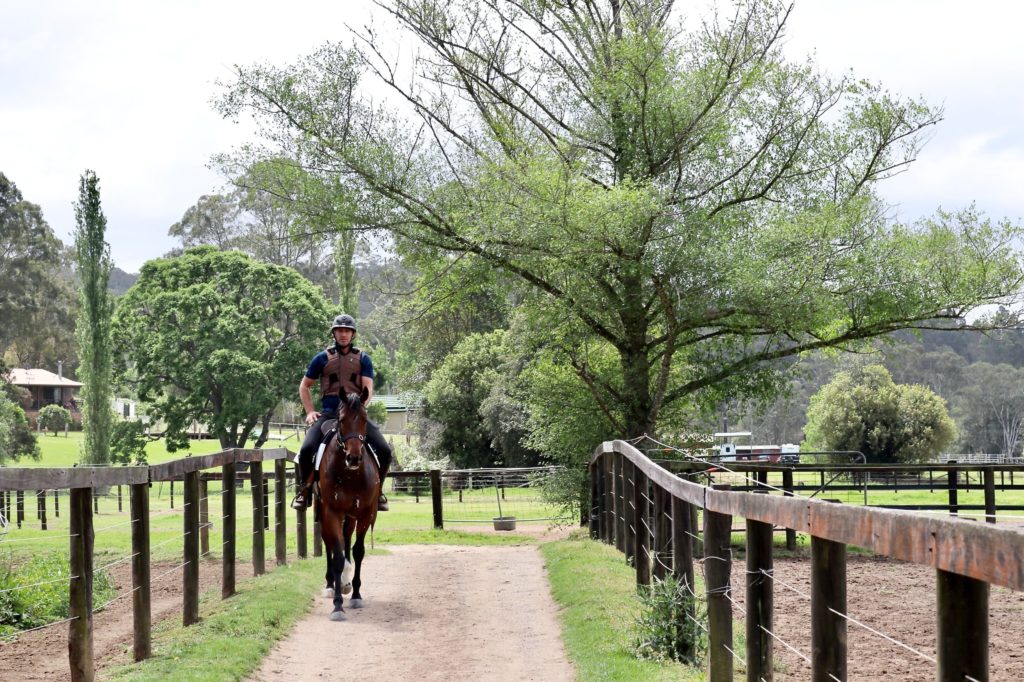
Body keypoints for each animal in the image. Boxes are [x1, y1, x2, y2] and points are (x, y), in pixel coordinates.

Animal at [316, 389, 380, 621]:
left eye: (364, 420)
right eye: (342, 420)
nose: (353, 458)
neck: (350, 475)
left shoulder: (366, 513)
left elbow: (358, 551)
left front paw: (356, 595)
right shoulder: (331, 512)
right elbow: (336, 555)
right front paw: (337, 605)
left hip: (351, 516)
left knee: (347, 540)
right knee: (329, 544)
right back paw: (331, 584)